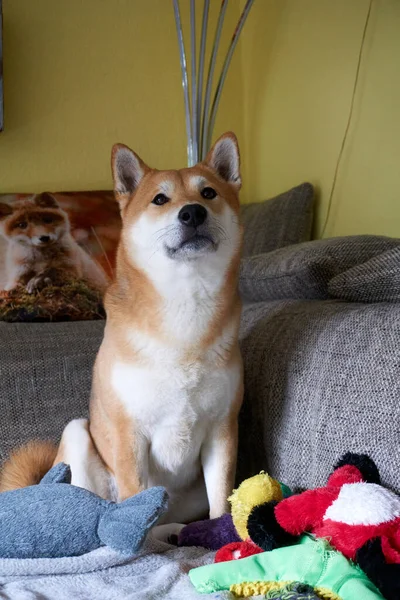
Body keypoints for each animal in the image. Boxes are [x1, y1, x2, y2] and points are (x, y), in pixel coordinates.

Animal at [0, 135, 244, 524]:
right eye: (159, 199)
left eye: (208, 193)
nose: (192, 212)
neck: (185, 303)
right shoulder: (128, 432)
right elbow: (135, 499)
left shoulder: (223, 431)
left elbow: (222, 502)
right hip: (77, 436)